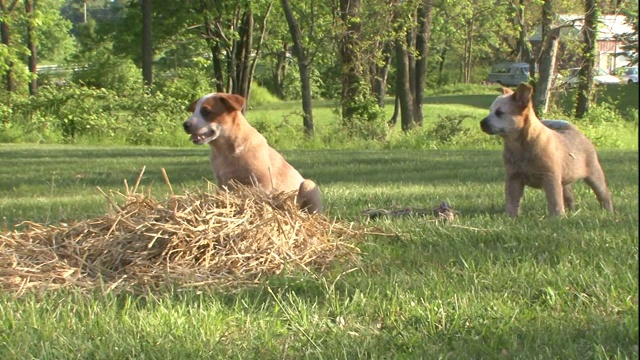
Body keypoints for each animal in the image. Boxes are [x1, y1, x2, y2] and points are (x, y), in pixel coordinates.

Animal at [182, 91, 322, 214]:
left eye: (206, 111)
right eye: (193, 111)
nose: (185, 124)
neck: (225, 152)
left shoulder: (263, 183)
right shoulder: (222, 183)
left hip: (309, 185)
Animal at [480, 83, 616, 217]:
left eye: (499, 113)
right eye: (490, 111)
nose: (481, 123)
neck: (522, 146)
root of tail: (575, 131)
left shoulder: (550, 178)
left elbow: (554, 201)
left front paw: (557, 218)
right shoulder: (513, 178)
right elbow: (512, 202)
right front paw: (510, 217)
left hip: (595, 175)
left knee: (604, 195)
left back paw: (609, 213)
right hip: (564, 182)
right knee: (569, 196)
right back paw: (572, 212)